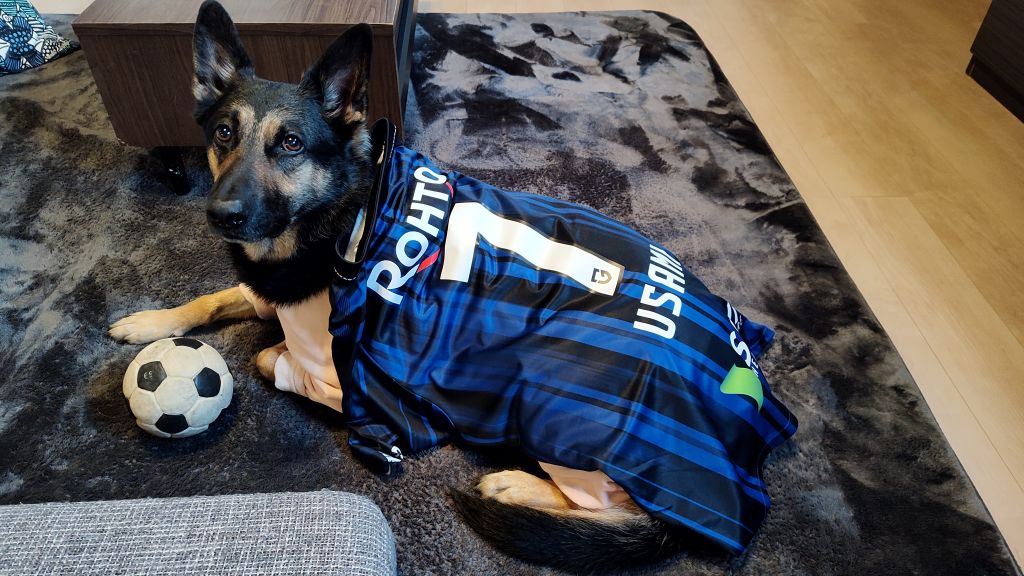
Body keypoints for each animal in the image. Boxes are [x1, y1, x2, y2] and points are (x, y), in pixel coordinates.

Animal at [110, 2, 796, 573]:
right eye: (224, 133)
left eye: (293, 144)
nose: (222, 215)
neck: (351, 215)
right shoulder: (271, 290)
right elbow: (218, 298)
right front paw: (148, 322)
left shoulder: (357, 391)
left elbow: (267, 359)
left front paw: (266, 350)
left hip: (557, 405)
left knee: (615, 509)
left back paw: (515, 485)